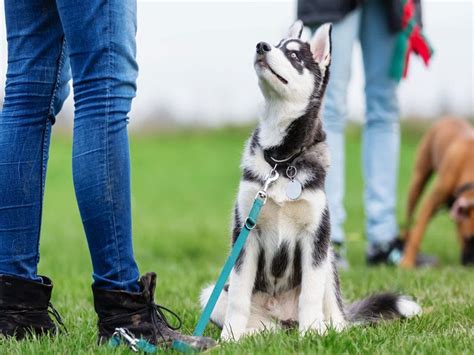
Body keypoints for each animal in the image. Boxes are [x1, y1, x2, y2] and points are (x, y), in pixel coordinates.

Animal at [198, 20, 420, 342]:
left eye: (293, 55)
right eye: (276, 45)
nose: (261, 46)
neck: (280, 160)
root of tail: (283, 319)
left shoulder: (315, 238)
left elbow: (311, 296)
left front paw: (312, 334)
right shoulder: (245, 235)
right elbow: (239, 295)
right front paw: (229, 338)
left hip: (328, 262)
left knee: (334, 314)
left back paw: (326, 329)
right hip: (212, 294)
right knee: (259, 322)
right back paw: (255, 335)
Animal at [402, 118, 474, 268]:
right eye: (468, 239)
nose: (470, 265)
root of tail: (449, 117)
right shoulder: (430, 203)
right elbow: (418, 233)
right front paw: (407, 263)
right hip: (417, 182)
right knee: (410, 220)